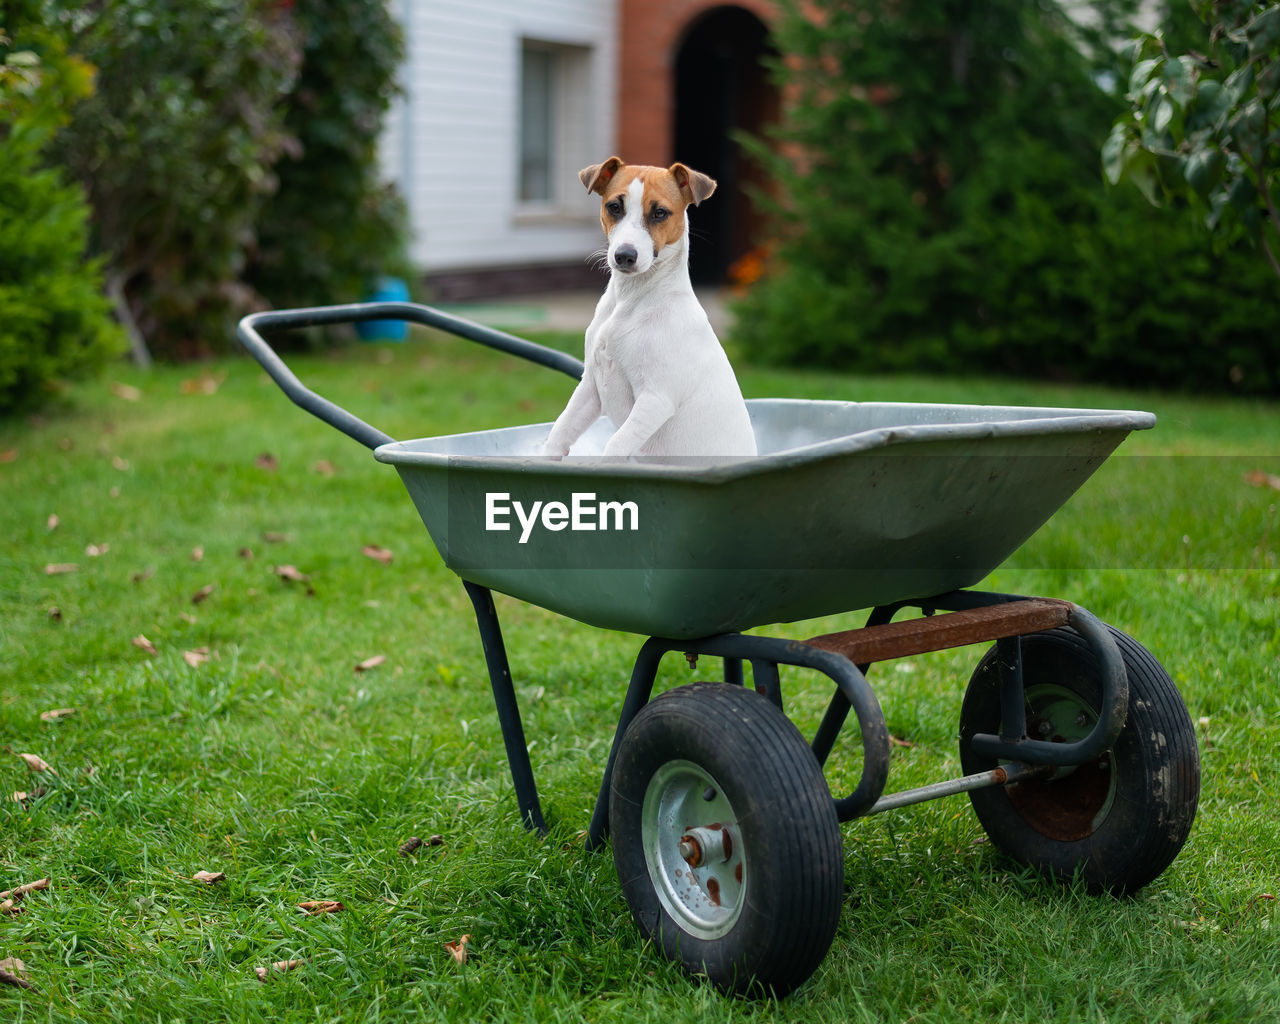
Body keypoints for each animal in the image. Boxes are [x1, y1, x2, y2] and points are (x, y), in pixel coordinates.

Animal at [542, 156, 757, 460]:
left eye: (660, 213)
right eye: (614, 207)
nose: (624, 255)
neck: (631, 300)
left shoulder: (656, 398)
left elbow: (616, 444)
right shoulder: (590, 386)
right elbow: (560, 430)